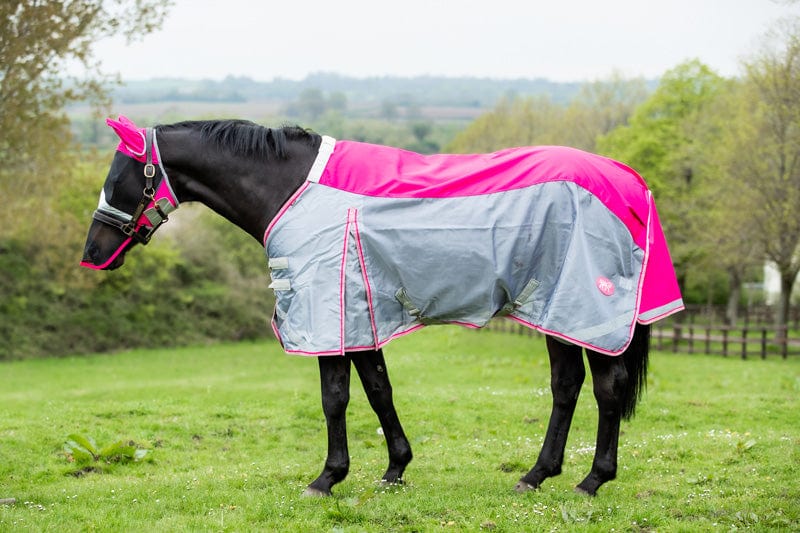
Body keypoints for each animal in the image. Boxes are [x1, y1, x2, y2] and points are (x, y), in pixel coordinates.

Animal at [81, 116, 683, 497]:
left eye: (122, 176)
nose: (91, 255)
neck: (292, 190)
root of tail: (628, 180)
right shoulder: (359, 315)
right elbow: (377, 390)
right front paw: (395, 468)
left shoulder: (327, 313)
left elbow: (335, 399)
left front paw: (327, 478)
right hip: (552, 311)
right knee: (567, 387)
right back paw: (537, 475)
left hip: (584, 311)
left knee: (606, 390)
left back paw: (592, 480)